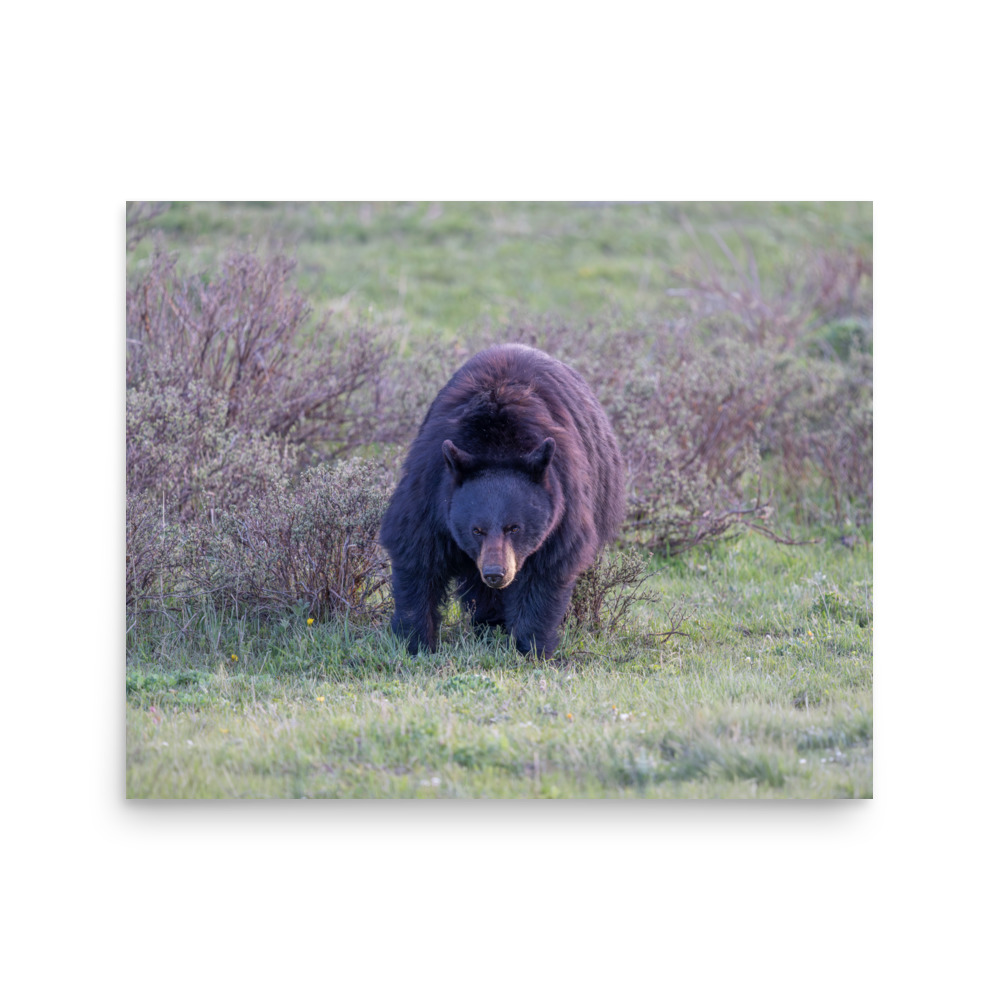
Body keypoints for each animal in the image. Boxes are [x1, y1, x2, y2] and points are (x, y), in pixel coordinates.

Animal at [379, 343, 625, 658]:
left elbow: (546, 570)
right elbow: (416, 554)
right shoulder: (431, 488)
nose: (496, 574)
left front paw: (532, 647)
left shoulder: (564, 500)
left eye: (514, 528)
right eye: (476, 530)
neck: (496, 444)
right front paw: (416, 642)